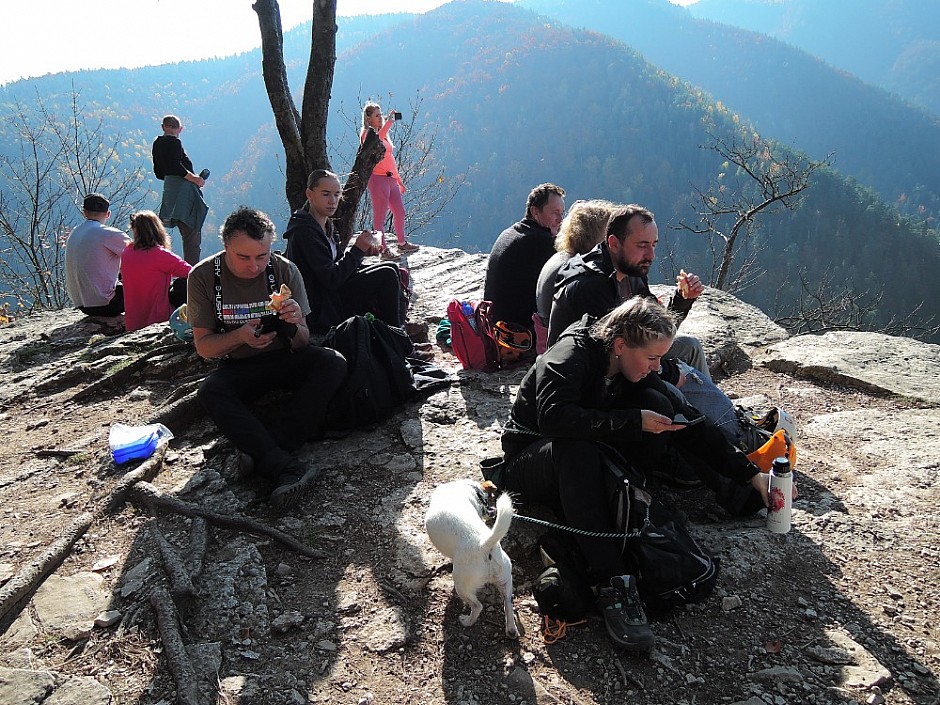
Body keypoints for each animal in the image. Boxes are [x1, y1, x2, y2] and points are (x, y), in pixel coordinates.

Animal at [422, 478, 516, 640]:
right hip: (506, 580)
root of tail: (484, 545)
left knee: (477, 606)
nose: (493, 511)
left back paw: (466, 621)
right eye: (487, 502)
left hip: (462, 586)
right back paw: (511, 629)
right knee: (508, 604)